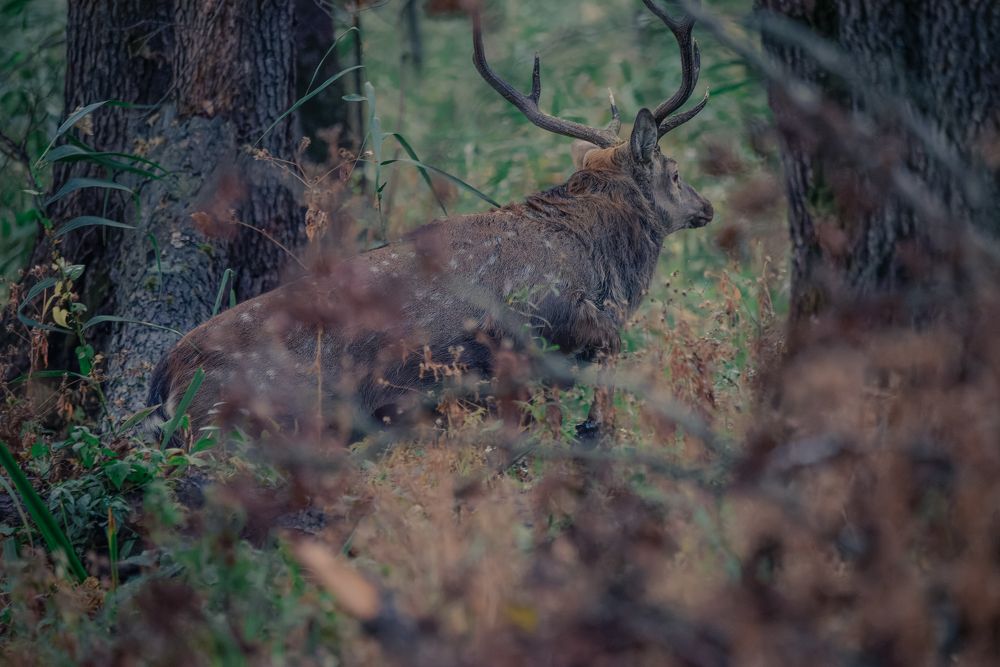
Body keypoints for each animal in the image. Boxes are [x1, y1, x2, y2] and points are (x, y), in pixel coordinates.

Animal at [147, 0, 713, 444]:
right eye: (675, 171)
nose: (707, 207)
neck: (603, 266)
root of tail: (163, 380)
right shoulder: (542, 332)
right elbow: (600, 374)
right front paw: (592, 431)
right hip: (243, 423)